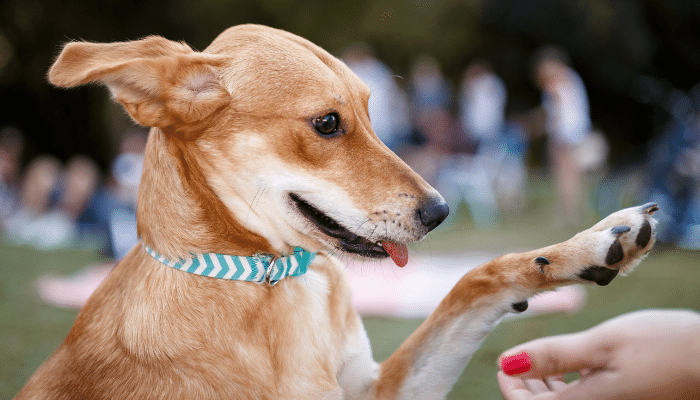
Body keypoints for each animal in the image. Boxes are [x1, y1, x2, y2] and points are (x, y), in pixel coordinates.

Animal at [17, 24, 660, 396]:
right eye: (327, 123)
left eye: (372, 112)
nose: (441, 211)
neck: (274, 286)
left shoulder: (377, 387)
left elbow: (472, 282)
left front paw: (584, 248)